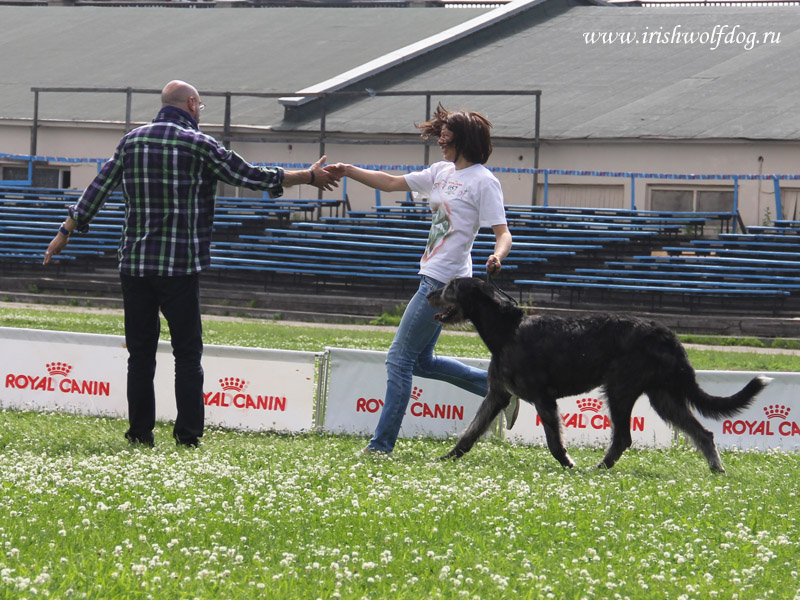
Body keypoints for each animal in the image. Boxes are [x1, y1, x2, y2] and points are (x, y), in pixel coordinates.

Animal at [428, 278, 772, 474]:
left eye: (452, 286)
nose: (429, 292)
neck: (507, 329)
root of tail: (667, 334)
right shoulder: (497, 395)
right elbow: (470, 432)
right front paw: (447, 457)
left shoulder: (543, 398)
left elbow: (554, 442)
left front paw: (569, 464)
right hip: (663, 397)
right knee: (703, 433)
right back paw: (716, 469)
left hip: (620, 389)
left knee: (623, 437)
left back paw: (599, 468)